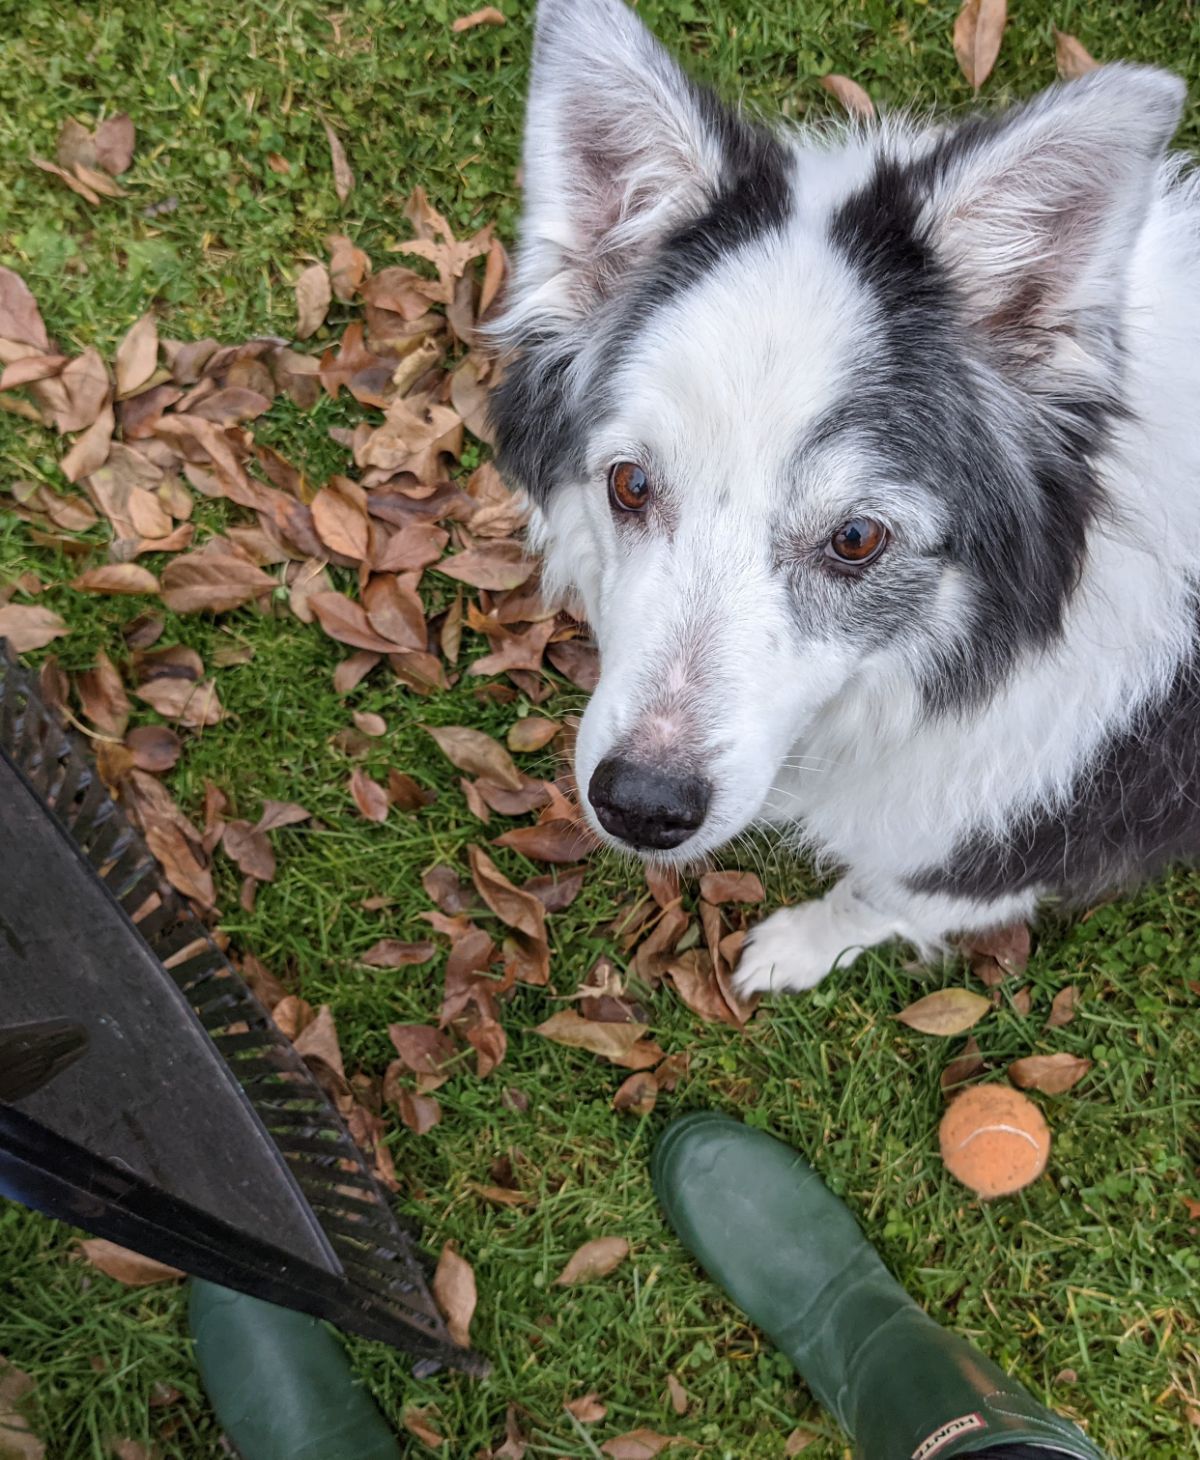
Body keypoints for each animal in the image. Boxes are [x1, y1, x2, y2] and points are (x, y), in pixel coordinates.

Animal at [487, 0, 1200, 992]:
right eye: (630, 484)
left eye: (856, 538)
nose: (642, 805)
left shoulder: (1007, 846)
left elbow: (880, 896)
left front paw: (798, 947)